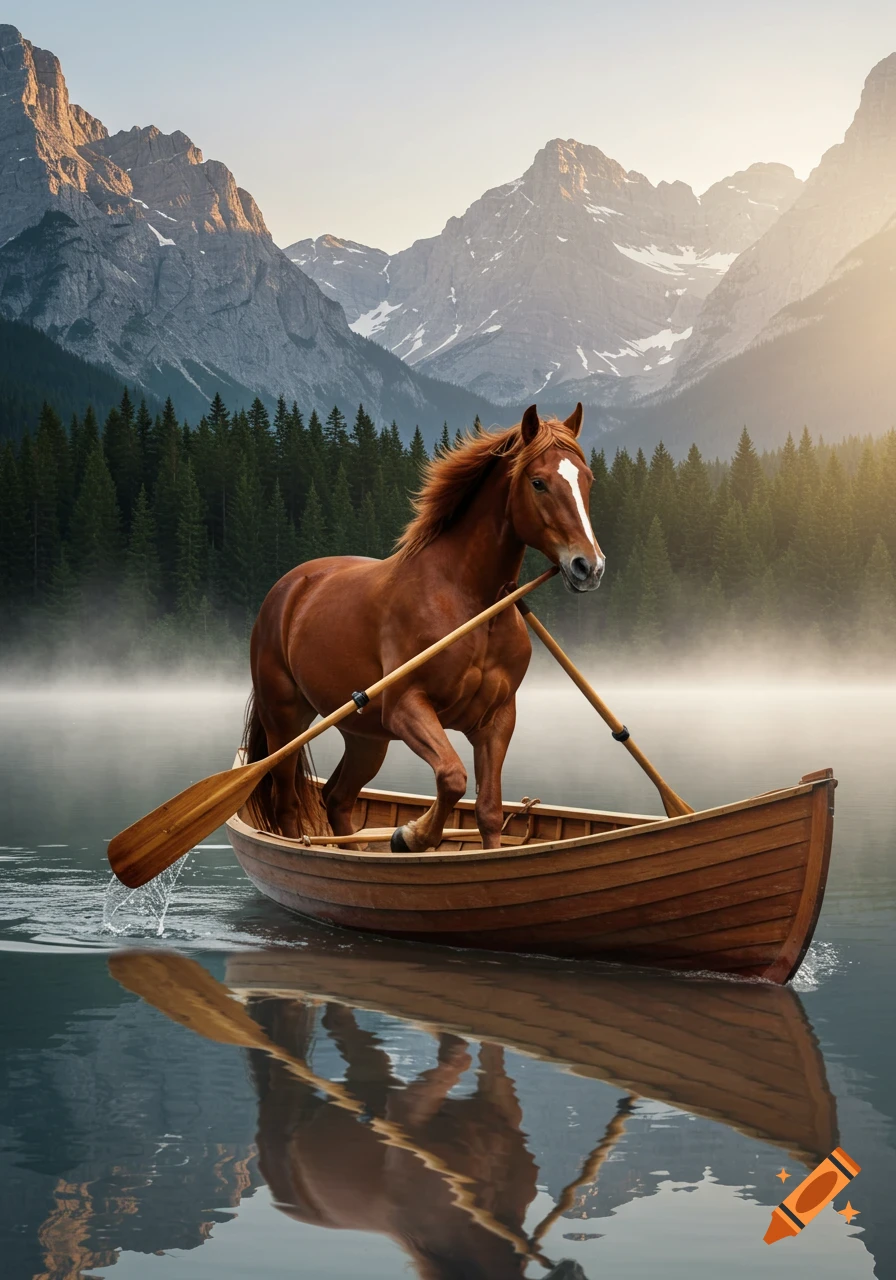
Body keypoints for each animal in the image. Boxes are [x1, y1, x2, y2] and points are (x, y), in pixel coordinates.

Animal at [244, 402, 605, 852]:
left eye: (588, 479)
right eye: (538, 482)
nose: (588, 566)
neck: (471, 602)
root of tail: (289, 586)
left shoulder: (497, 718)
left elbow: (489, 811)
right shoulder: (406, 706)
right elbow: (451, 777)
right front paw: (410, 835)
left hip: (366, 736)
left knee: (337, 798)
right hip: (284, 719)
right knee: (289, 805)